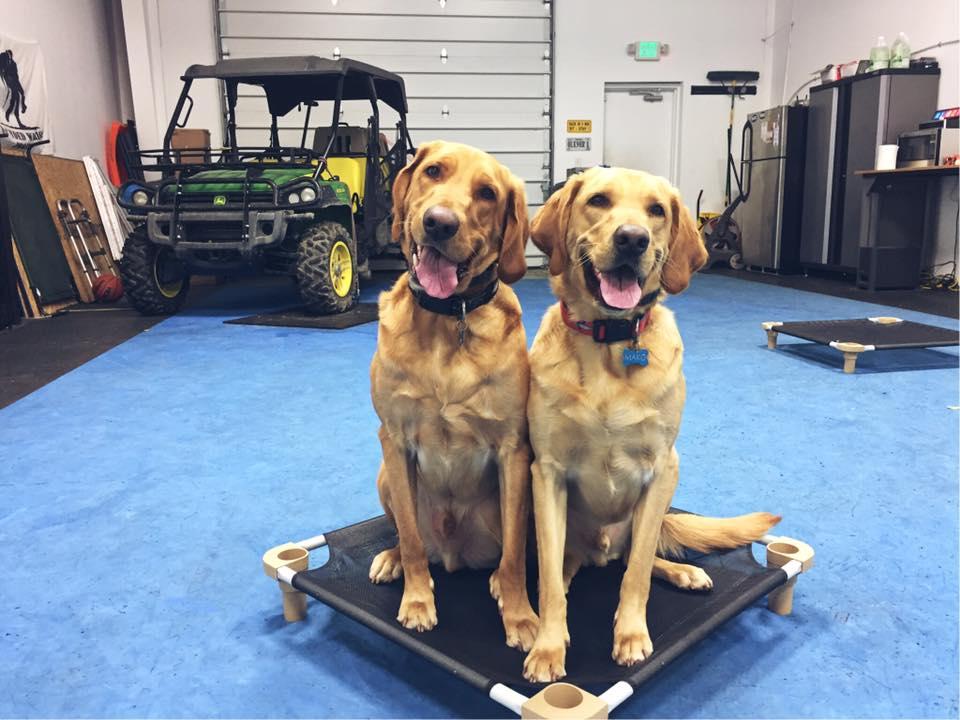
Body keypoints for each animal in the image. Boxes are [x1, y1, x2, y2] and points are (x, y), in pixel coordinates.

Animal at [372, 141, 540, 652]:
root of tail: (452, 552)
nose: (440, 223)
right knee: (409, 537)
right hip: (385, 476)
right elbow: (410, 538)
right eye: (433, 171)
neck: (450, 318)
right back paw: (392, 559)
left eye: (487, 193)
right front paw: (417, 602)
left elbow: (514, 556)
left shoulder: (513, 451)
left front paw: (521, 617)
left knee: (508, 552)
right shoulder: (394, 440)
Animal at [520, 167, 776, 680]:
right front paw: (548, 645)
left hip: (648, 512)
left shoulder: (662, 470)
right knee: (563, 568)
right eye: (598, 201)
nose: (633, 239)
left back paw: (683, 571)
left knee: (636, 556)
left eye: (656, 210)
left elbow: (637, 571)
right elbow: (550, 584)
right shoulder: (547, 472)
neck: (609, 341)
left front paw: (631, 634)